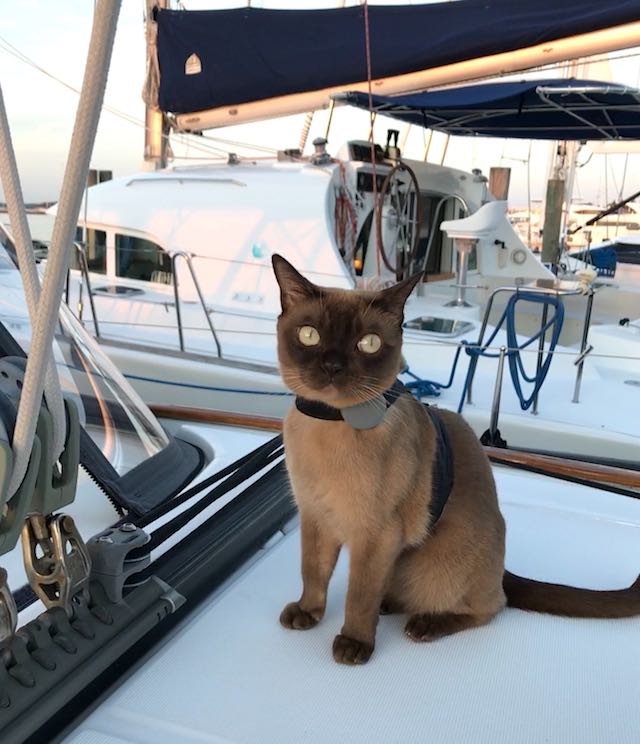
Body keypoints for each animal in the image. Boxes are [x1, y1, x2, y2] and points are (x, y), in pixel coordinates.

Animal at [272, 253, 640, 664]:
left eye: (367, 343)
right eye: (310, 336)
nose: (333, 367)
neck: (331, 421)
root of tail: (501, 566)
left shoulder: (376, 535)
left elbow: (359, 595)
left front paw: (354, 644)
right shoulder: (315, 517)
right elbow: (313, 572)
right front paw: (307, 613)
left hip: (436, 561)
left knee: (491, 605)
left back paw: (424, 624)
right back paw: (390, 605)